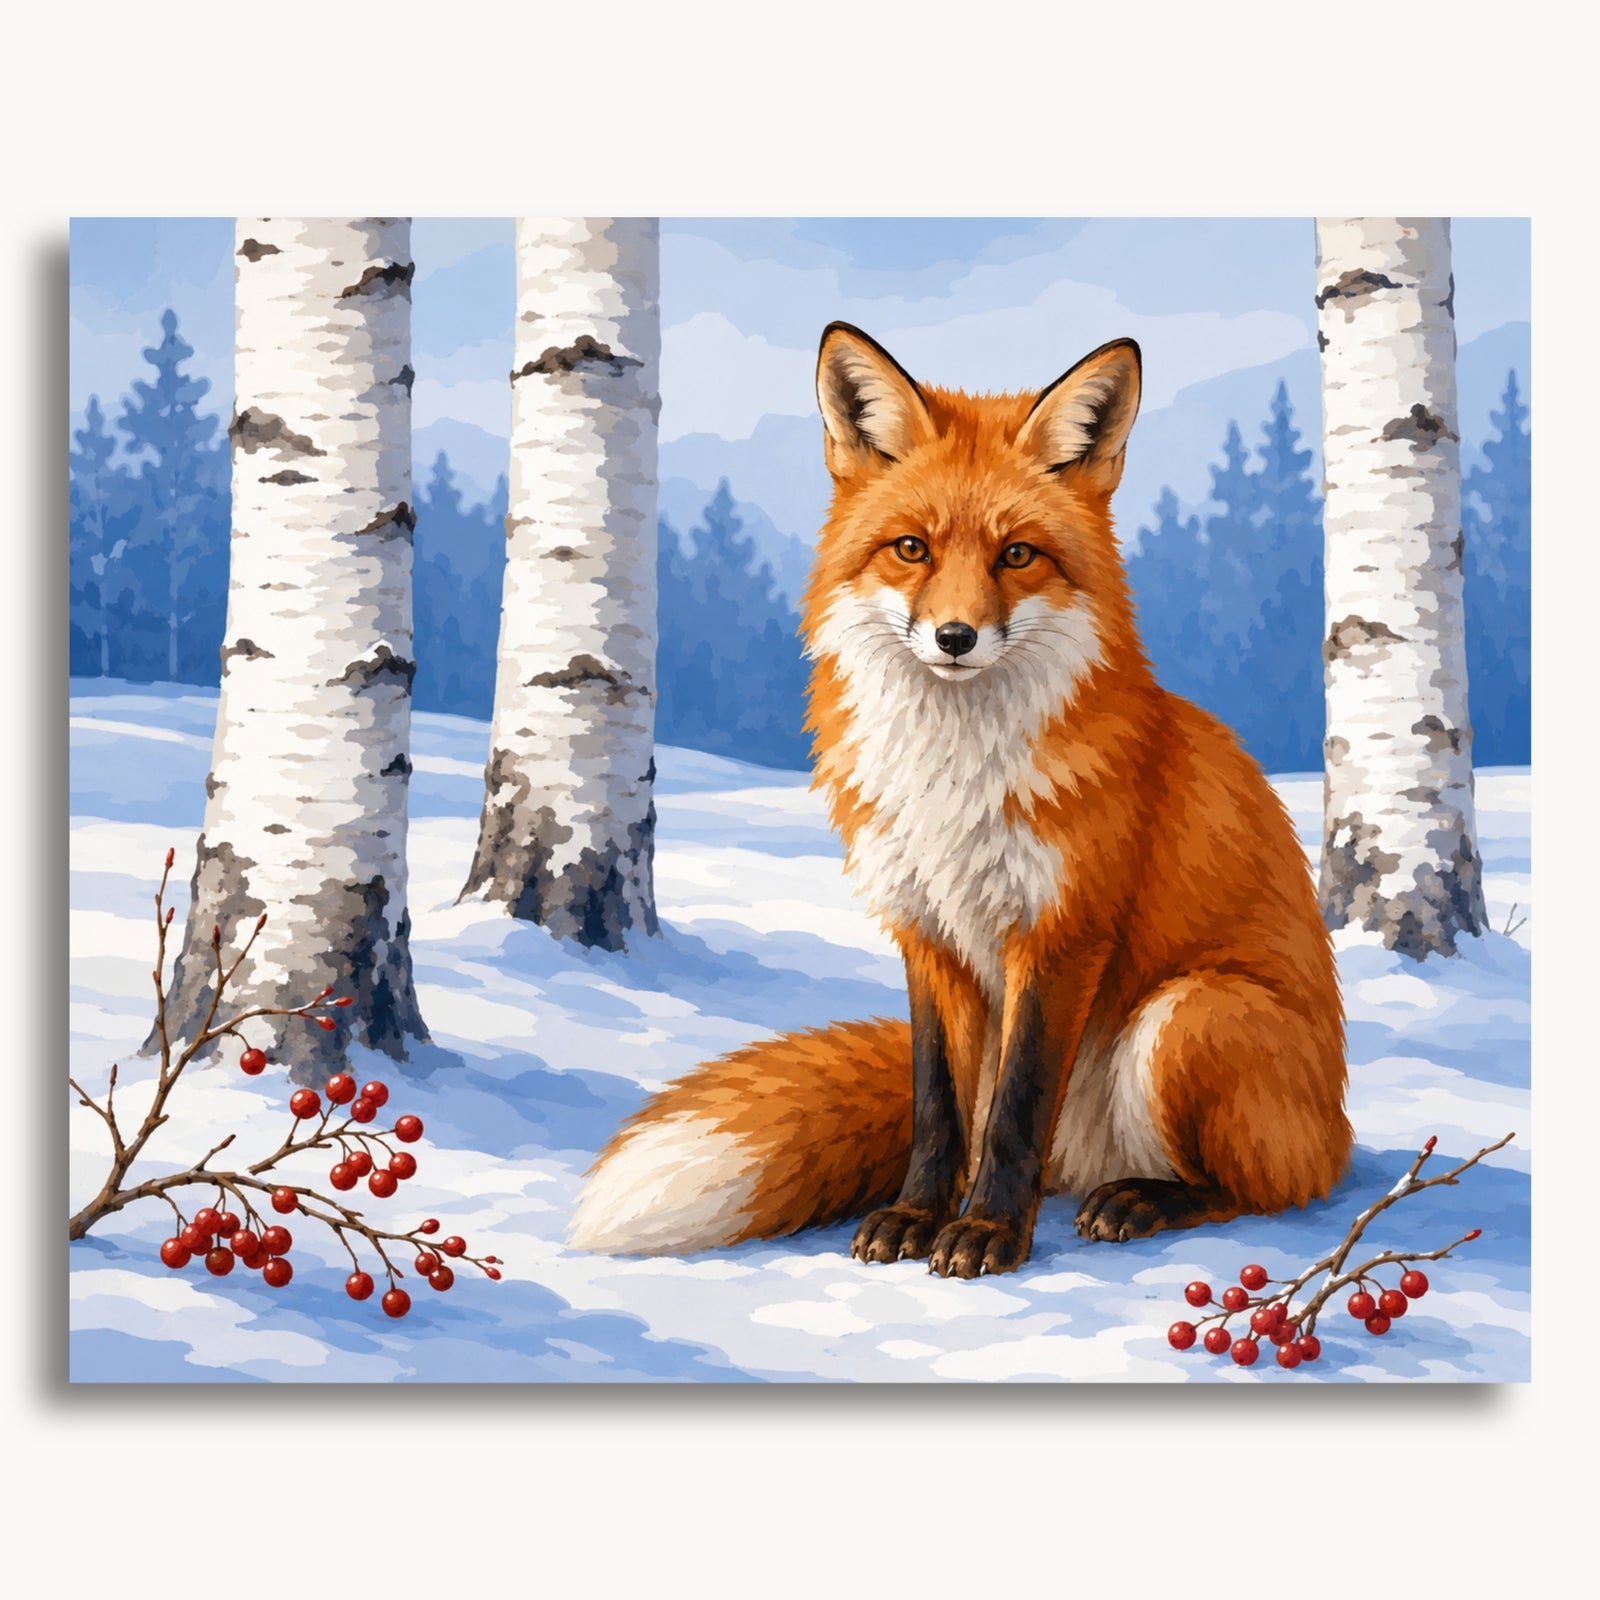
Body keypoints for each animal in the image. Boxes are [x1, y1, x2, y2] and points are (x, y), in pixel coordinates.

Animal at [568, 322, 1351, 1277]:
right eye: (912, 548)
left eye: (1017, 554)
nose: (954, 637)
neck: (952, 779)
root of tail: (1341, 1132)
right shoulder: (925, 928)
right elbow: (940, 1107)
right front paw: (917, 1215)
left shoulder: (1061, 933)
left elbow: (1014, 1106)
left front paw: (987, 1233)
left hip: (1191, 1015)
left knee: (1265, 1187)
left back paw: (1142, 1199)